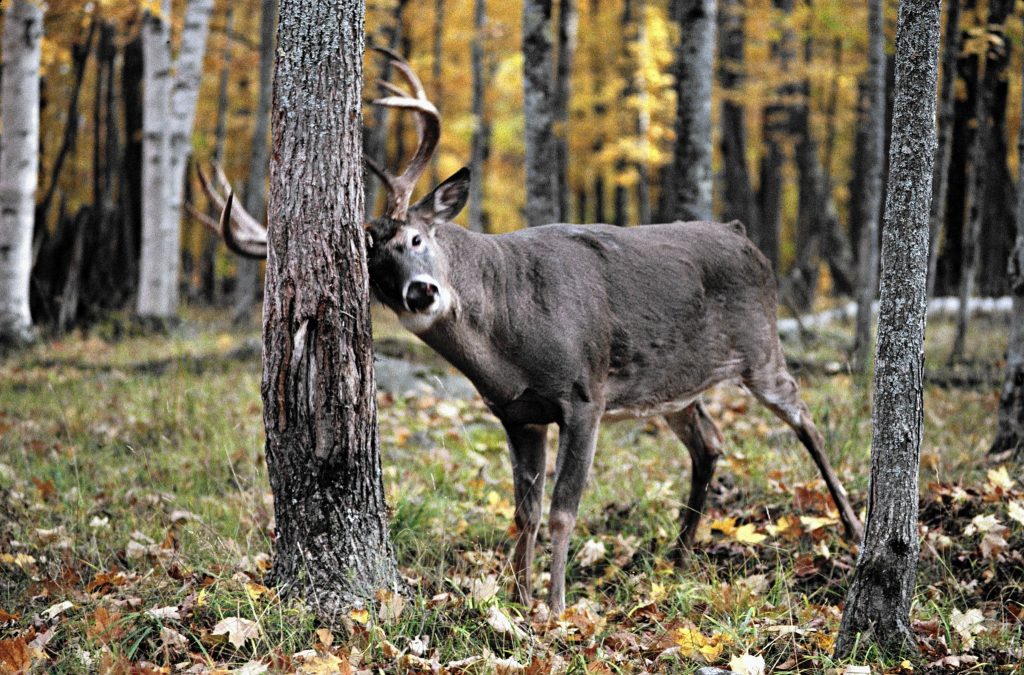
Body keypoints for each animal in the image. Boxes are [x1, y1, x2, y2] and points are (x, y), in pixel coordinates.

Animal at [203, 48, 868, 618]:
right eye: (375, 274)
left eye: (417, 238)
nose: (421, 293)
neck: (510, 341)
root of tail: (743, 235)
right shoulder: (518, 414)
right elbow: (523, 510)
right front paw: (518, 599)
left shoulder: (584, 395)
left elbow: (562, 511)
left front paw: (555, 605)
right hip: (673, 385)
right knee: (709, 442)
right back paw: (679, 555)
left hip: (760, 346)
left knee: (805, 420)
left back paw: (856, 530)